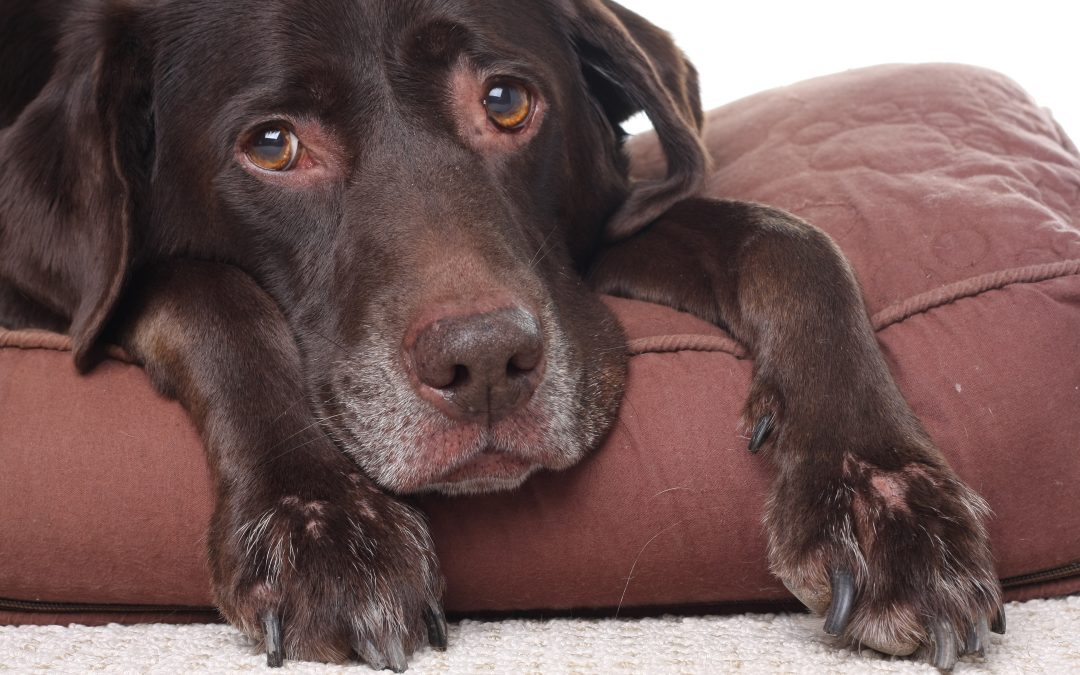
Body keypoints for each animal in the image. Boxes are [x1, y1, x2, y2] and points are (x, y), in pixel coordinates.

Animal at [0, 0, 1002, 669]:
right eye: (274, 145)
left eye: (508, 100)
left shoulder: (601, 239)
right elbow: (205, 287)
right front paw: (317, 519)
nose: (482, 362)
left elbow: (791, 240)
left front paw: (883, 496)